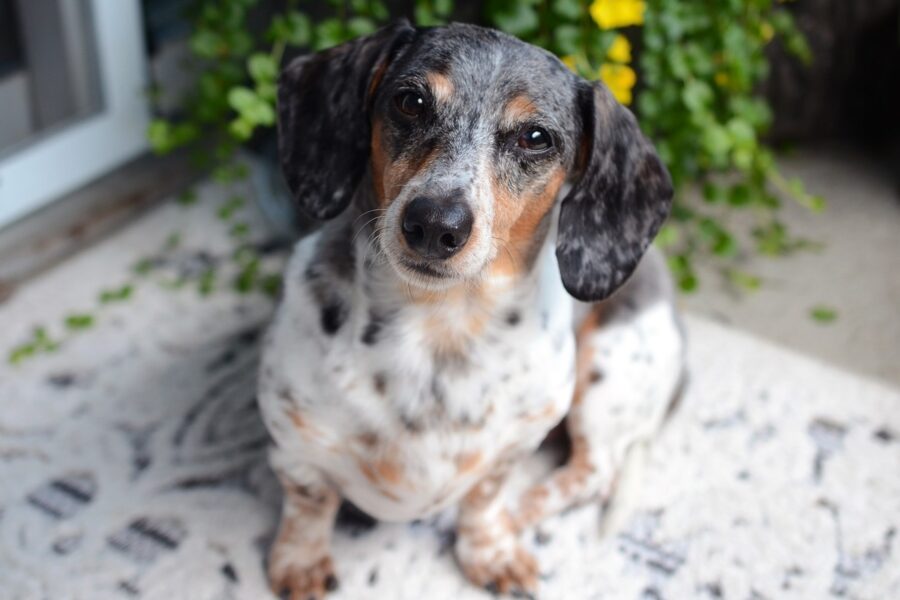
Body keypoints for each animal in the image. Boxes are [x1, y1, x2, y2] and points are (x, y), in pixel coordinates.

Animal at [253, 21, 684, 596]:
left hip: (606, 375)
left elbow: (484, 498)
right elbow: (309, 503)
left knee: (594, 472)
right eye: (410, 101)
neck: (439, 328)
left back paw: (521, 513)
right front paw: (300, 561)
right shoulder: (293, 445)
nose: (436, 224)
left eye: (536, 137)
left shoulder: (516, 444)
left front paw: (492, 548)